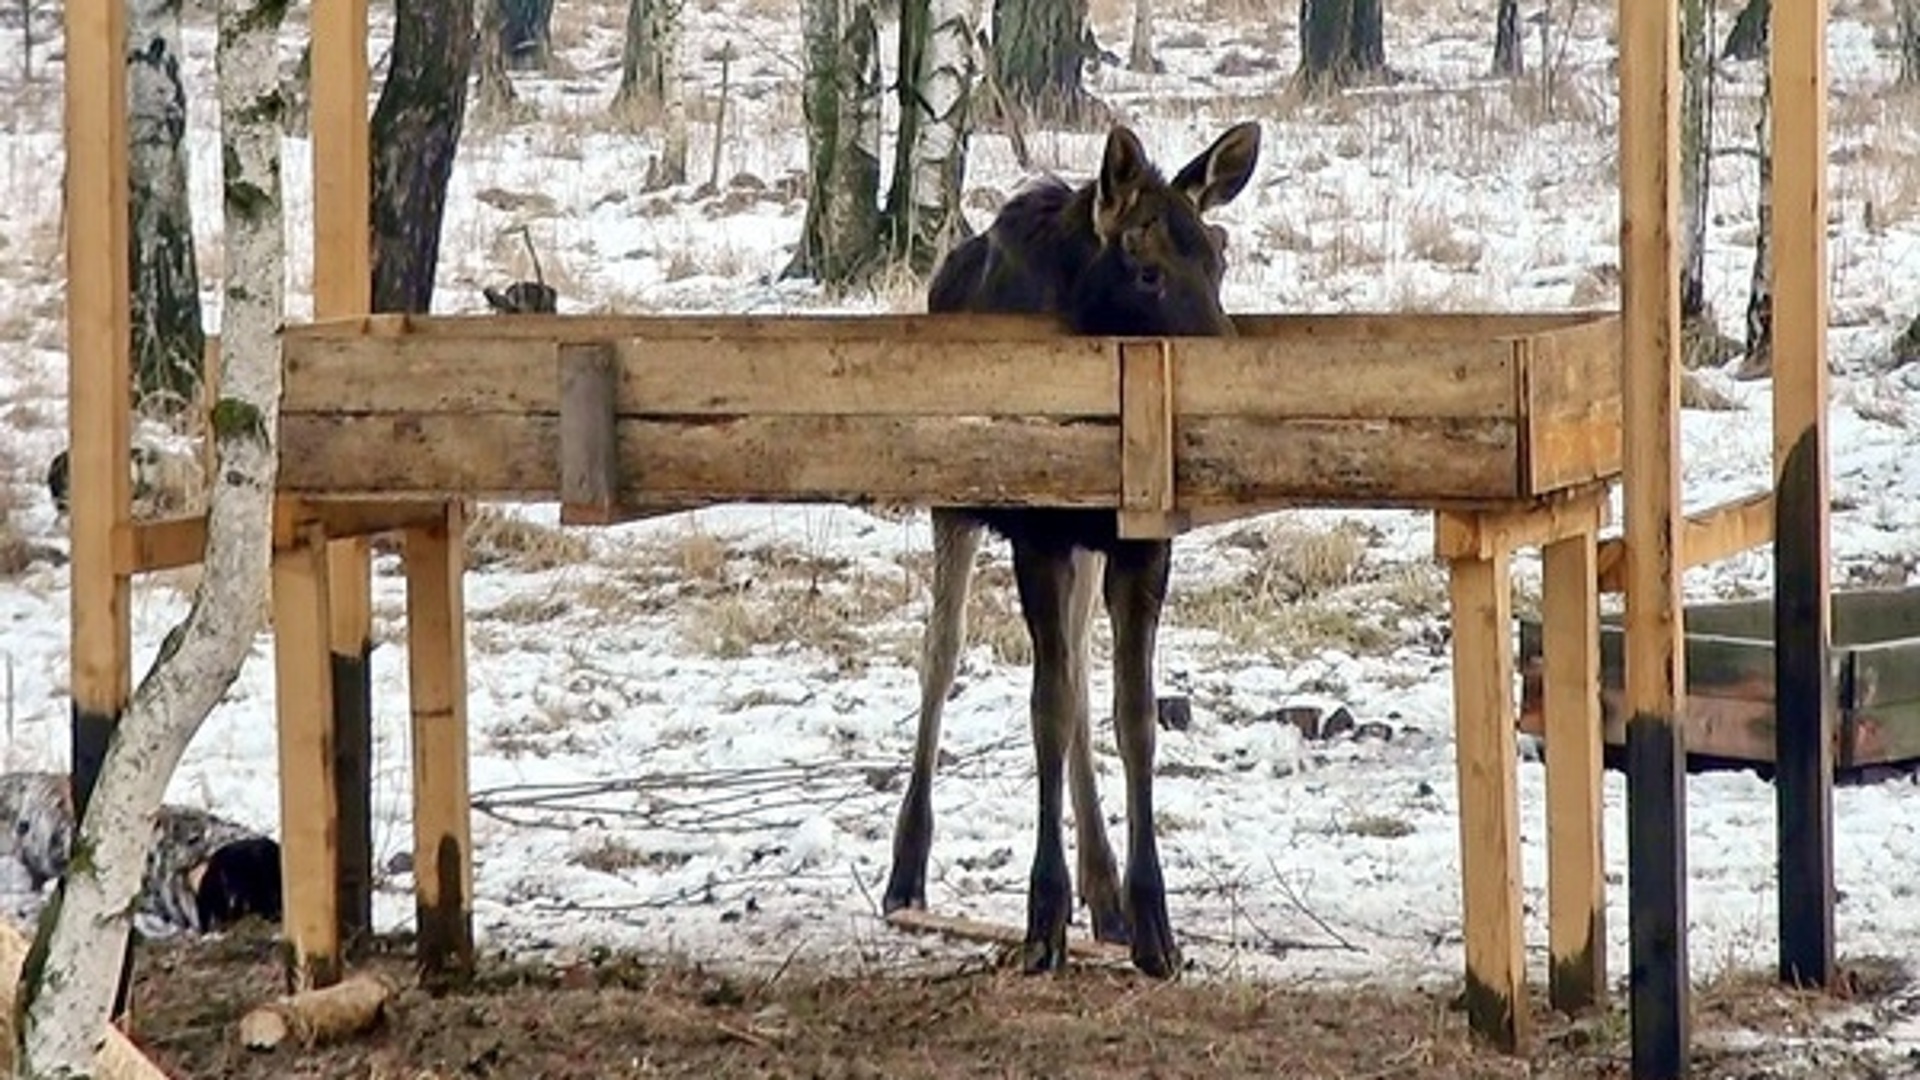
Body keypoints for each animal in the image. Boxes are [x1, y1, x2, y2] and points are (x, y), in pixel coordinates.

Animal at [879, 119, 1259, 976]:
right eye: (1147, 271)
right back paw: (906, 868)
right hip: (953, 503)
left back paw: (1107, 893)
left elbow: (1131, 713)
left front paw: (1153, 923)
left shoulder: (1138, 540)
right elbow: (1045, 707)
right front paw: (1042, 918)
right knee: (940, 653)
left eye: (1219, 259)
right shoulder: (1040, 533)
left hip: (1086, 548)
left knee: (1080, 667)